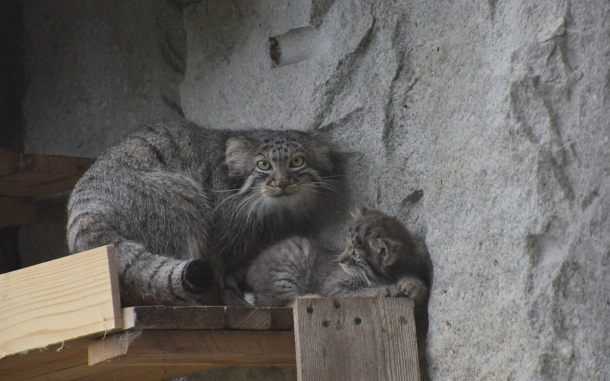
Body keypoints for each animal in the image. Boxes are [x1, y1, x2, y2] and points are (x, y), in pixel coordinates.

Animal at [68, 119, 342, 306]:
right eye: (264, 165)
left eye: (297, 161)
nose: (282, 183)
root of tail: (86, 207)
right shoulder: (222, 231)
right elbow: (220, 268)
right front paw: (231, 299)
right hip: (179, 197)